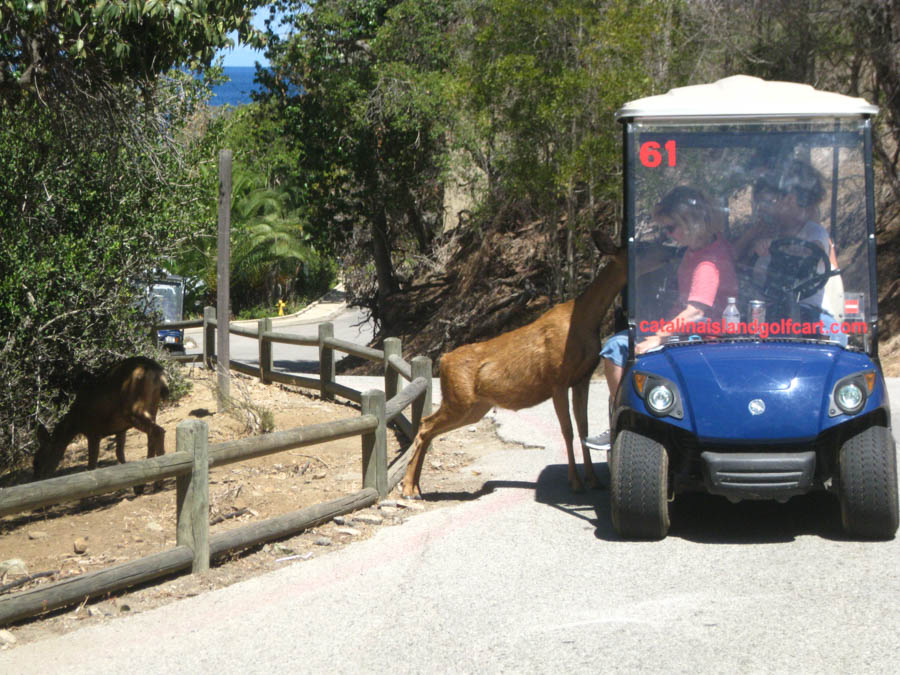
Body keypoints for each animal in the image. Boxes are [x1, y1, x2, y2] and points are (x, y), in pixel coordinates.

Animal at [33, 356, 171, 484]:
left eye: (37, 461)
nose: (38, 479)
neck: (76, 422)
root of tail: (158, 372)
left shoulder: (93, 431)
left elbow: (92, 465)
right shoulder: (120, 428)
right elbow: (119, 454)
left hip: (135, 409)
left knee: (158, 431)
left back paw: (158, 483)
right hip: (151, 409)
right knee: (152, 436)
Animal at [400, 230, 632, 500]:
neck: (584, 321)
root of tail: (444, 359)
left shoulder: (581, 378)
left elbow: (584, 429)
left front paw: (594, 480)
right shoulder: (557, 379)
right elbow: (568, 430)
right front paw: (575, 482)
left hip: (475, 407)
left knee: (429, 428)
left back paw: (416, 487)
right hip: (459, 399)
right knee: (425, 425)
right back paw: (408, 488)